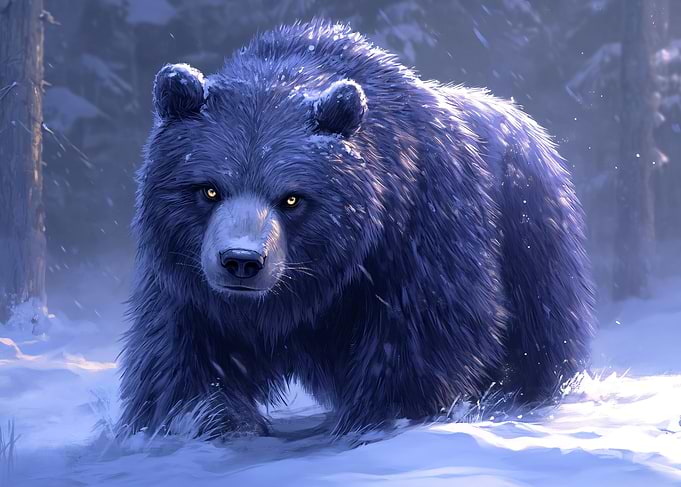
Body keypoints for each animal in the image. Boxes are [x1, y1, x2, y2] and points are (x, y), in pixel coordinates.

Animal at [118, 20, 594, 438]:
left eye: (291, 198)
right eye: (209, 189)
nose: (241, 261)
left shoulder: (415, 232)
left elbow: (421, 334)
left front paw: (381, 418)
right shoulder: (188, 285)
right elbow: (182, 359)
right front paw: (206, 420)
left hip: (530, 231)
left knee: (539, 337)